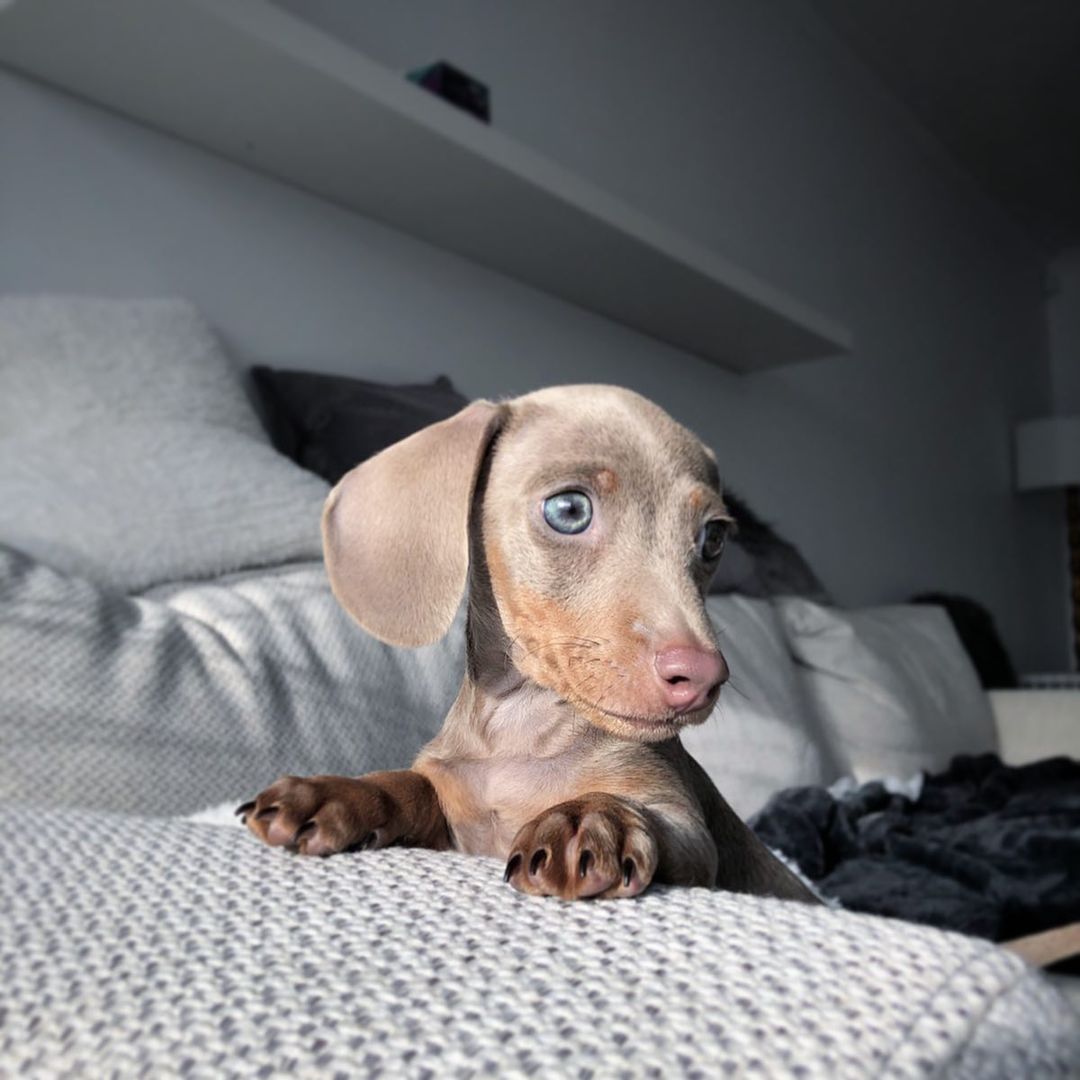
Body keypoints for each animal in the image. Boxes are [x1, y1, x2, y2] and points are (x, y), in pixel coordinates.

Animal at [240, 385, 818, 903]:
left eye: (713, 538)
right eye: (569, 510)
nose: (703, 677)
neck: (522, 730)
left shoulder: (688, 828)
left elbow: (650, 817)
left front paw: (593, 817)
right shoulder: (455, 815)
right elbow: (412, 785)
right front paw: (340, 791)